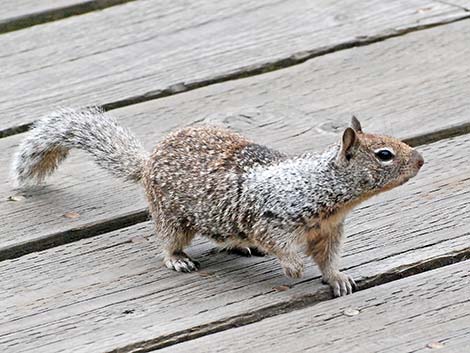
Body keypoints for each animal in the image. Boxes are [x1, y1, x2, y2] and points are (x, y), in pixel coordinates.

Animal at [11, 106, 424, 294]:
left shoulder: (329, 232)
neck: (324, 190)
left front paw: (337, 278)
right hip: (171, 217)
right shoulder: (274, 219)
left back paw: (241, 248)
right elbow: (280, 245)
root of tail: (147, 163)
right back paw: (178, 259)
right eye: (384, 154)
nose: (421, 159)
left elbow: (328, 259)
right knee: (168, 241)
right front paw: (292, 268)